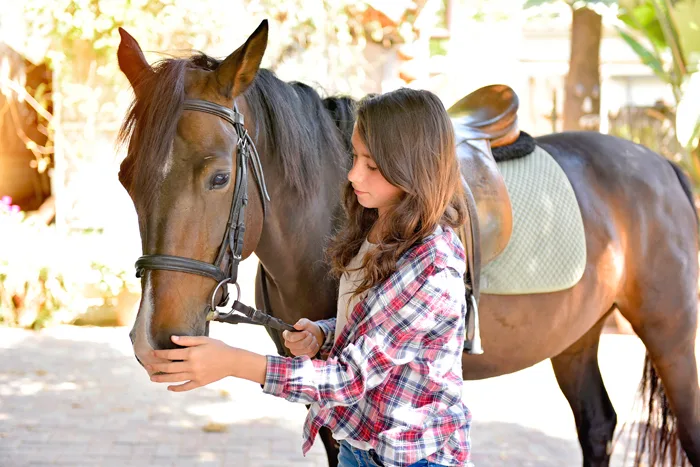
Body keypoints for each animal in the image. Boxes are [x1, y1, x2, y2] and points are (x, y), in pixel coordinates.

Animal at [117, 19, 696, 467]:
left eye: (219, 177)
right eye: (127, 180)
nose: (153, 343)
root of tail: (661, 162)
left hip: (670, 335)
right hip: (575, 335)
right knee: (597, 425)